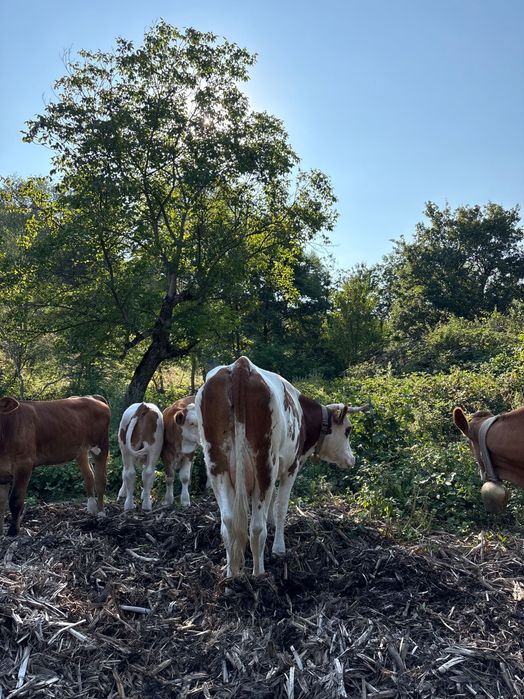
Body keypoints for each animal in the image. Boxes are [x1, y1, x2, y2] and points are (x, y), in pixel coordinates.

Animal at [0, 395, 110, 536]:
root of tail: (91, 397)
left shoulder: (24, 465)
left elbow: (15, 500)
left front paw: (13, 532)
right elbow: (1, 504)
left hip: (101, 444)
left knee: (100, 479)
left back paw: (101, 513)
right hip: (81, 450)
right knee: (89, 475)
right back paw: (91, 508)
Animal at [195, 356, 368, 578]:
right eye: (348, 430)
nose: (352, 460)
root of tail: (241, 366)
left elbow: (271, 504)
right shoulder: (290, 467)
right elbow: (280, 507)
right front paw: (278, 548)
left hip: (217, 464)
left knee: (228, 523)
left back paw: (231, 574)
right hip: (264, 464)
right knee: (256, 528)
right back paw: (259, 574)